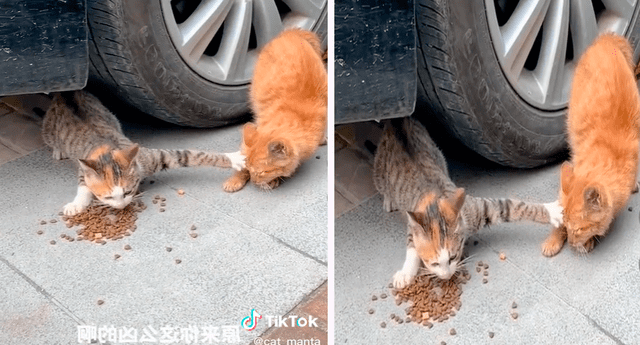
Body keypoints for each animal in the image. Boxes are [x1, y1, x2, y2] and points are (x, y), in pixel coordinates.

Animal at [40, 91, 245, 215]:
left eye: (127, 191)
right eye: (108, 197)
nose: (121, 206)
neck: (107, 149)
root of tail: (66, 92)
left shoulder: (150, 158)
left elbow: (195, 155)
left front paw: (234, 158)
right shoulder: (85, 166)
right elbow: (84, 186)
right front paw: (76, 205)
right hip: (48, 128)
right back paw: (58, 150)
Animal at [224, 28, 324, 192]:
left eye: (261, 173)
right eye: (249, 168)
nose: (253, 181)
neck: (290, 114)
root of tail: (290, 33)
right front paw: (235, 179)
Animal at [372, 117, 564, 286]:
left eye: (453, 257)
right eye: (434, 263)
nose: (446, 276)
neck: (435, 203)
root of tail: (396, 121)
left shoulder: (476, 208)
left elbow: (516, 207)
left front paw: (552, 211)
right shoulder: (414, 222)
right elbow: (412, 245)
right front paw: (405, 274)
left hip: (435, 150)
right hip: (380, 169)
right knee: (383, 185)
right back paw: (388, 201)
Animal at [540, 33, 640, 255]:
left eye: (577, 230)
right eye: (565, 223)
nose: (570, 242)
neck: (605, 152)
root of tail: (605, 39)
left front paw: (588, 241)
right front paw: (553, 239)